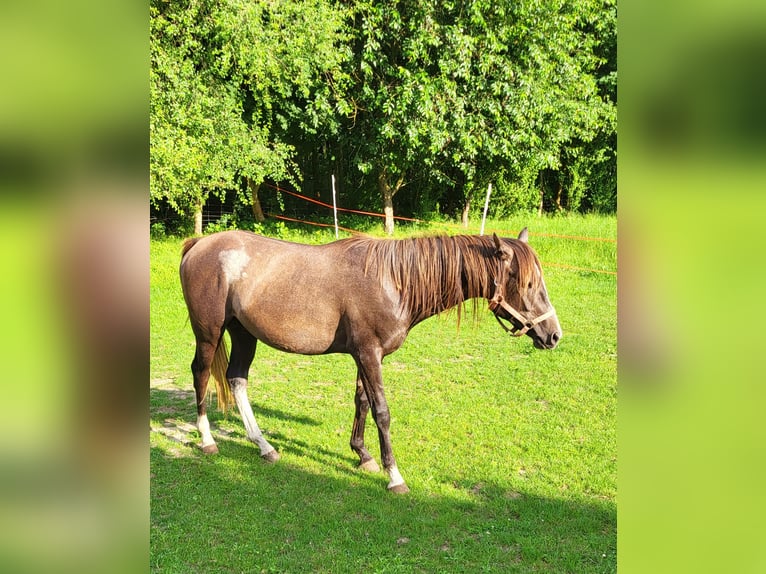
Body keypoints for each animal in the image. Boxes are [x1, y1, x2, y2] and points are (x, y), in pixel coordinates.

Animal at [180, 230, 564, 496]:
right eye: (529, 284)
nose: (554, 335)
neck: (394, 281)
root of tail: (200, 244)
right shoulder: (368, 354)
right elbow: (382, 411)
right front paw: (394, 476)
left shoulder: (365, 356)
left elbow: (362, 401)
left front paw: (363, 456)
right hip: (209, 333)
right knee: (201, 374)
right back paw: (207, 439)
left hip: (244, 334)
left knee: (237, 380)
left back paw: (264, 446)